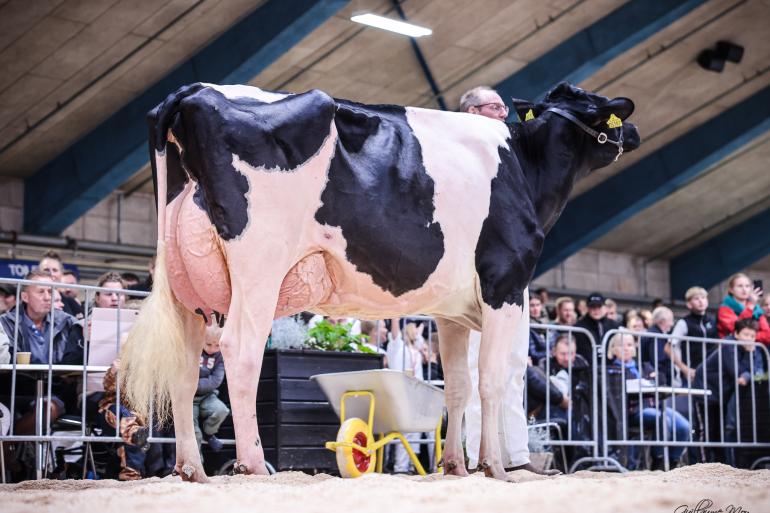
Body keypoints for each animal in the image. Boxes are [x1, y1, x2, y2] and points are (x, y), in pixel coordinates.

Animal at [123, 80, 640, 480]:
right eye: (602, 107)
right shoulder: (504, 285)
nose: (633, 130)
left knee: (184, 369)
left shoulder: (452, 312)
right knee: (240, 351)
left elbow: (457, 386)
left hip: (184, 286)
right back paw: (252, 463)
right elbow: (490, 381)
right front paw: (493, 466)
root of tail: (193, 91)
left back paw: (191, 468)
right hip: (259, 265)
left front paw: (456, 466)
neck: (524, 167)